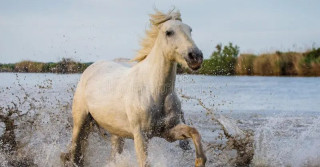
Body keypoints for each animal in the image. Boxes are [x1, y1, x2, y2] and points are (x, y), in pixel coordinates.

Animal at [66, 9, 206, 166]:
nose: (195, 56)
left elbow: (194, 132)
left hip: (116, 133)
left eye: (190, 30)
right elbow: (144, 162)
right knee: (75, 152)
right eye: (169, 32)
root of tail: (92, 67)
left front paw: (199, 161)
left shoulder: (167, 131)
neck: (155, 91)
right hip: (80, 122)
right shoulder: (141, 136)